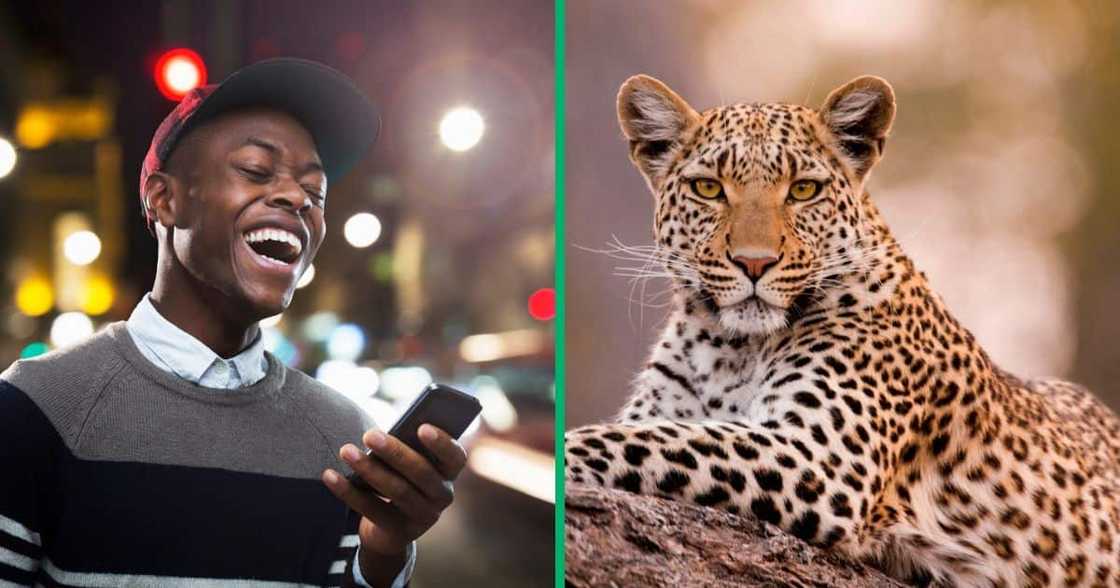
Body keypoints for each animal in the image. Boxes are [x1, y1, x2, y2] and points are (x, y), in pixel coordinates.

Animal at [564, 74, 1120, 586]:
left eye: (804, 190)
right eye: (708, 188)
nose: (754, 263)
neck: (730, 348)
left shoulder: (822, 457)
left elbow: (637, 440)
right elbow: (644, 430)